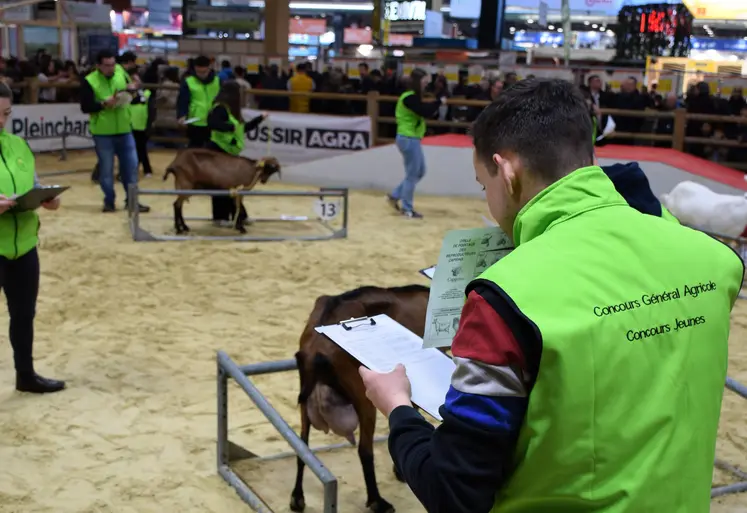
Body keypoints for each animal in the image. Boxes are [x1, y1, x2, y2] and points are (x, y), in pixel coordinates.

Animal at [292, 284, 432, 512]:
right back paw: (377, 501)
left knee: (302, 443)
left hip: (306, 398)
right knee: (365, 450)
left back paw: (297, 497)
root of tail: (316, 350)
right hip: (363, 397)